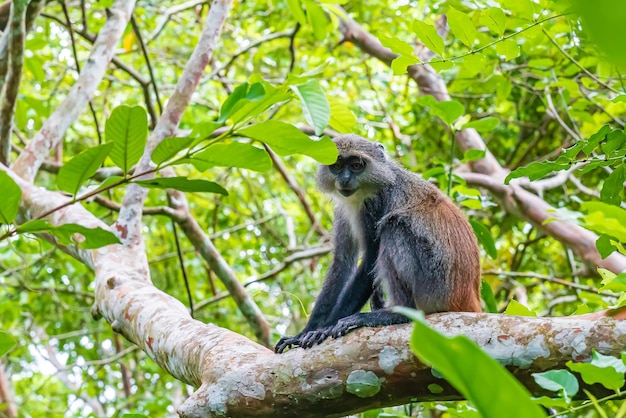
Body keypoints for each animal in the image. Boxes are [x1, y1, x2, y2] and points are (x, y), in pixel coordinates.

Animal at [272, 136, 478, 354]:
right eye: (337, 166)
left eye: (356, 165)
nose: (344, 180)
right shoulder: (343, 209)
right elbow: (342, 262)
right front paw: (303, 333)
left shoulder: (374, 204)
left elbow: (370, 259)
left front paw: (324, 329)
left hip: (436, 284)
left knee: (394, 228)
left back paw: (399, 314)